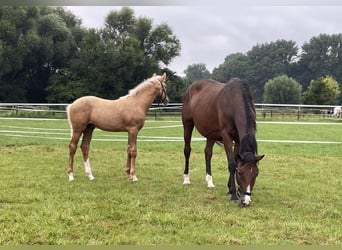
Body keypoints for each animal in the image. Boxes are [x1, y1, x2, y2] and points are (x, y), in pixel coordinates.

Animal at [182, 78, 264, 207]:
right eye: (240, 173)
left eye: (256, 173)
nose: (246, 201)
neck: (233, 101)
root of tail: (190, 87)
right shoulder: (227, 137)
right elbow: (232, 163)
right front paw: (234, 195)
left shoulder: (238, 139)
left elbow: (235, 160)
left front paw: (230, 189)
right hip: (187, 125)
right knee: (187, 150)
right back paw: (186, 179)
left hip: (210, 134)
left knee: (208, 153)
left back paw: (209, 181)